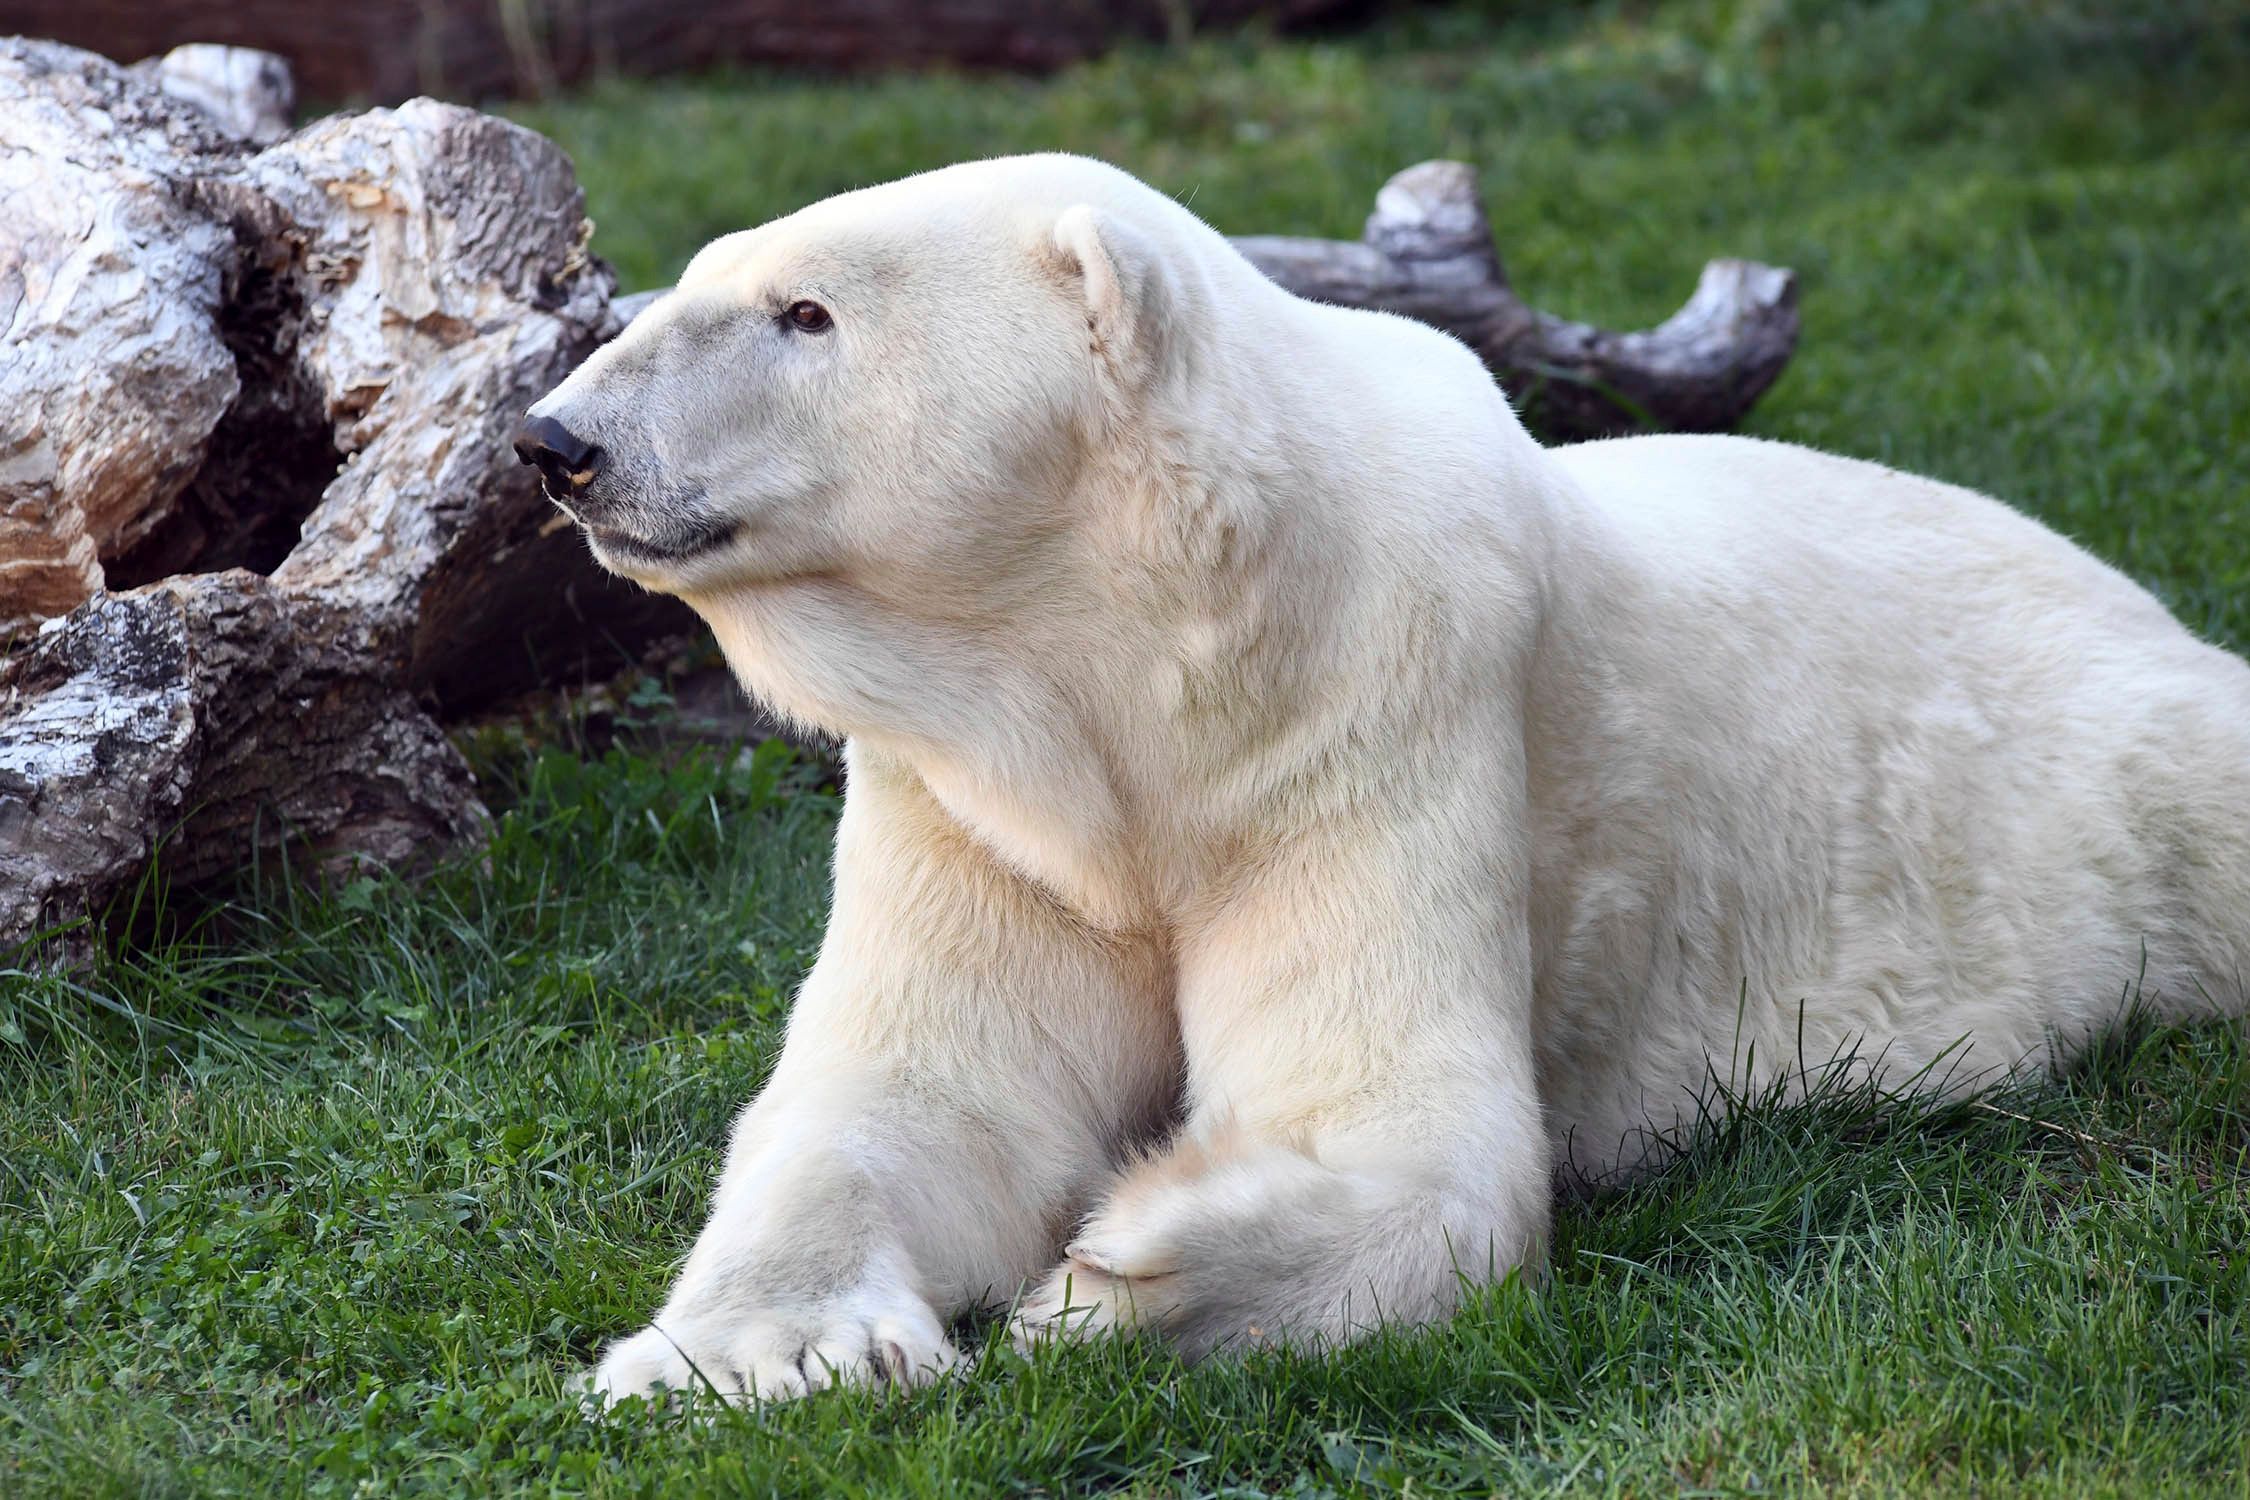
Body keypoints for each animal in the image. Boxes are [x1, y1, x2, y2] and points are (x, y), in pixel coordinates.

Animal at [516, 153, 2250, 1403]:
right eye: (691, 283)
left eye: (804, 314)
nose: (556, 443)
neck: (1144, 651)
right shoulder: (979, 802)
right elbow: (913, 1097)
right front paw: (762, 1346)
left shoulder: (1370, 721)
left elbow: (1412, 1138)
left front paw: (1116, 1274)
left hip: (2135, 771)